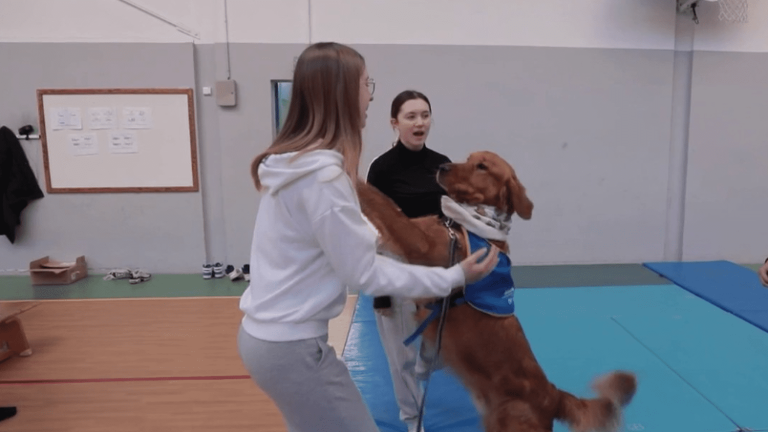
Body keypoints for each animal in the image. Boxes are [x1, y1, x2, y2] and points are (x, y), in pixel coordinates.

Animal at [356, 152, 640, 432]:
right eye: (467, 158)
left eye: (481, 166)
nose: (442, 167)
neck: (468, 224)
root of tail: (554, 395)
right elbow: (387, 208)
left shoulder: (420, 244)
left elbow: (382, 203)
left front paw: (353, 178)